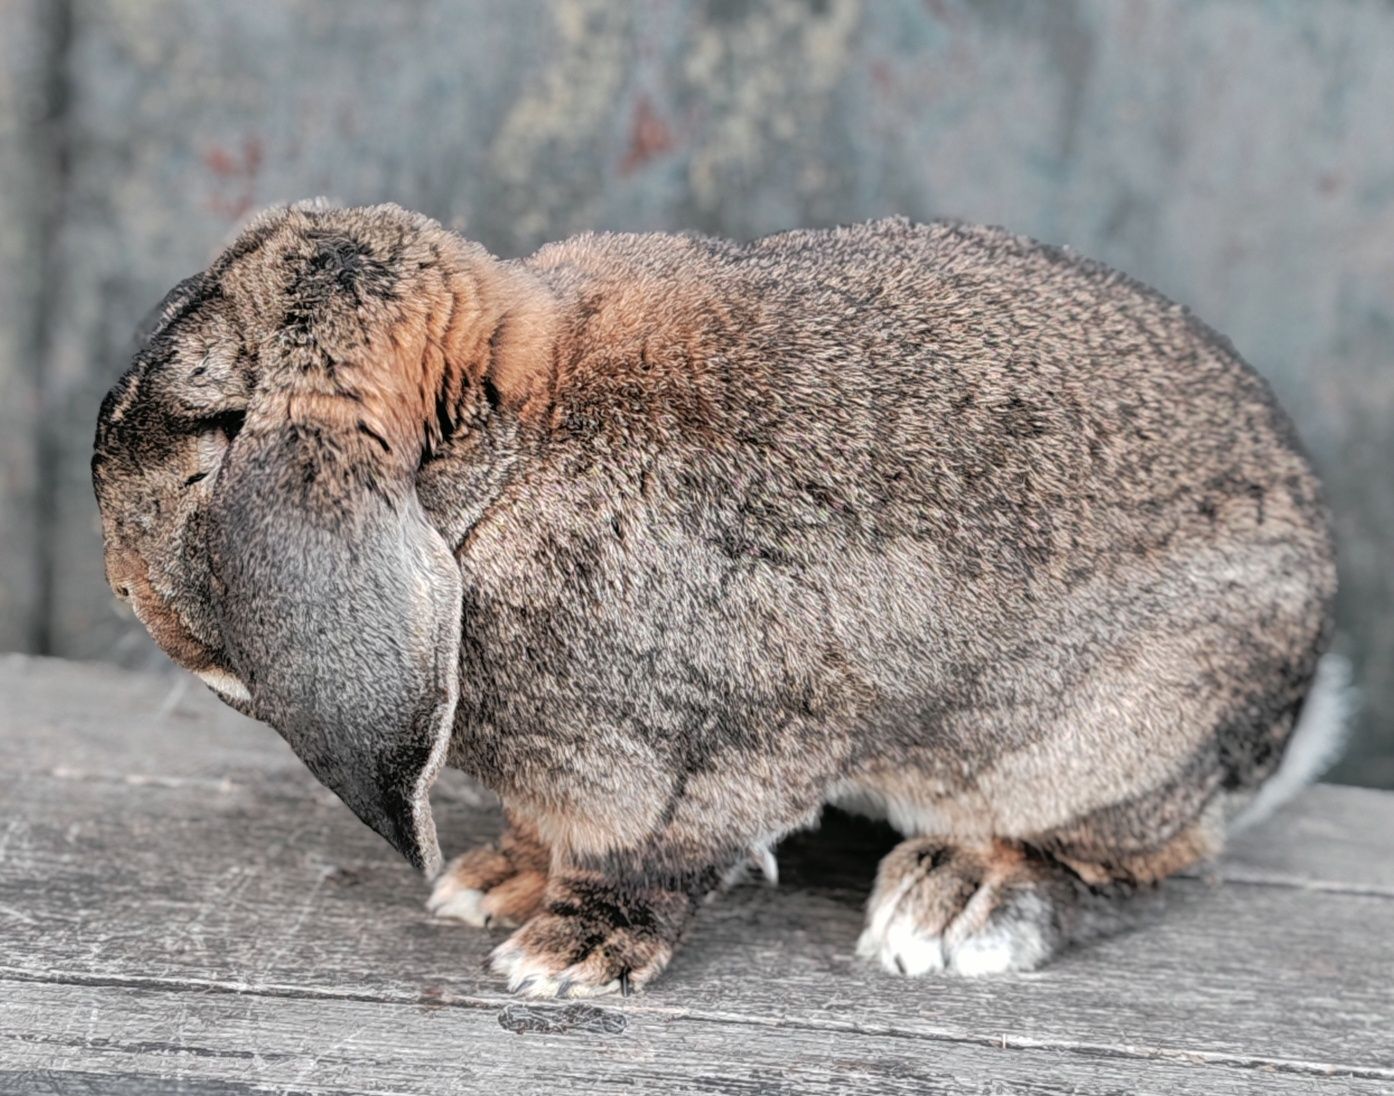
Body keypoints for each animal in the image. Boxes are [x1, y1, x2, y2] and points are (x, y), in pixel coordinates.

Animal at [95, 200, 1338, 992]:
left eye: (211, 428)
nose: (119, 579)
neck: (510, 457)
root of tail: (1296, 700)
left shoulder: (709, 763)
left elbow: (650, 861)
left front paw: (564, 956)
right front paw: (494, 881)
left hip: (1098, 743)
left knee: (1132, 858)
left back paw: (953, 902)